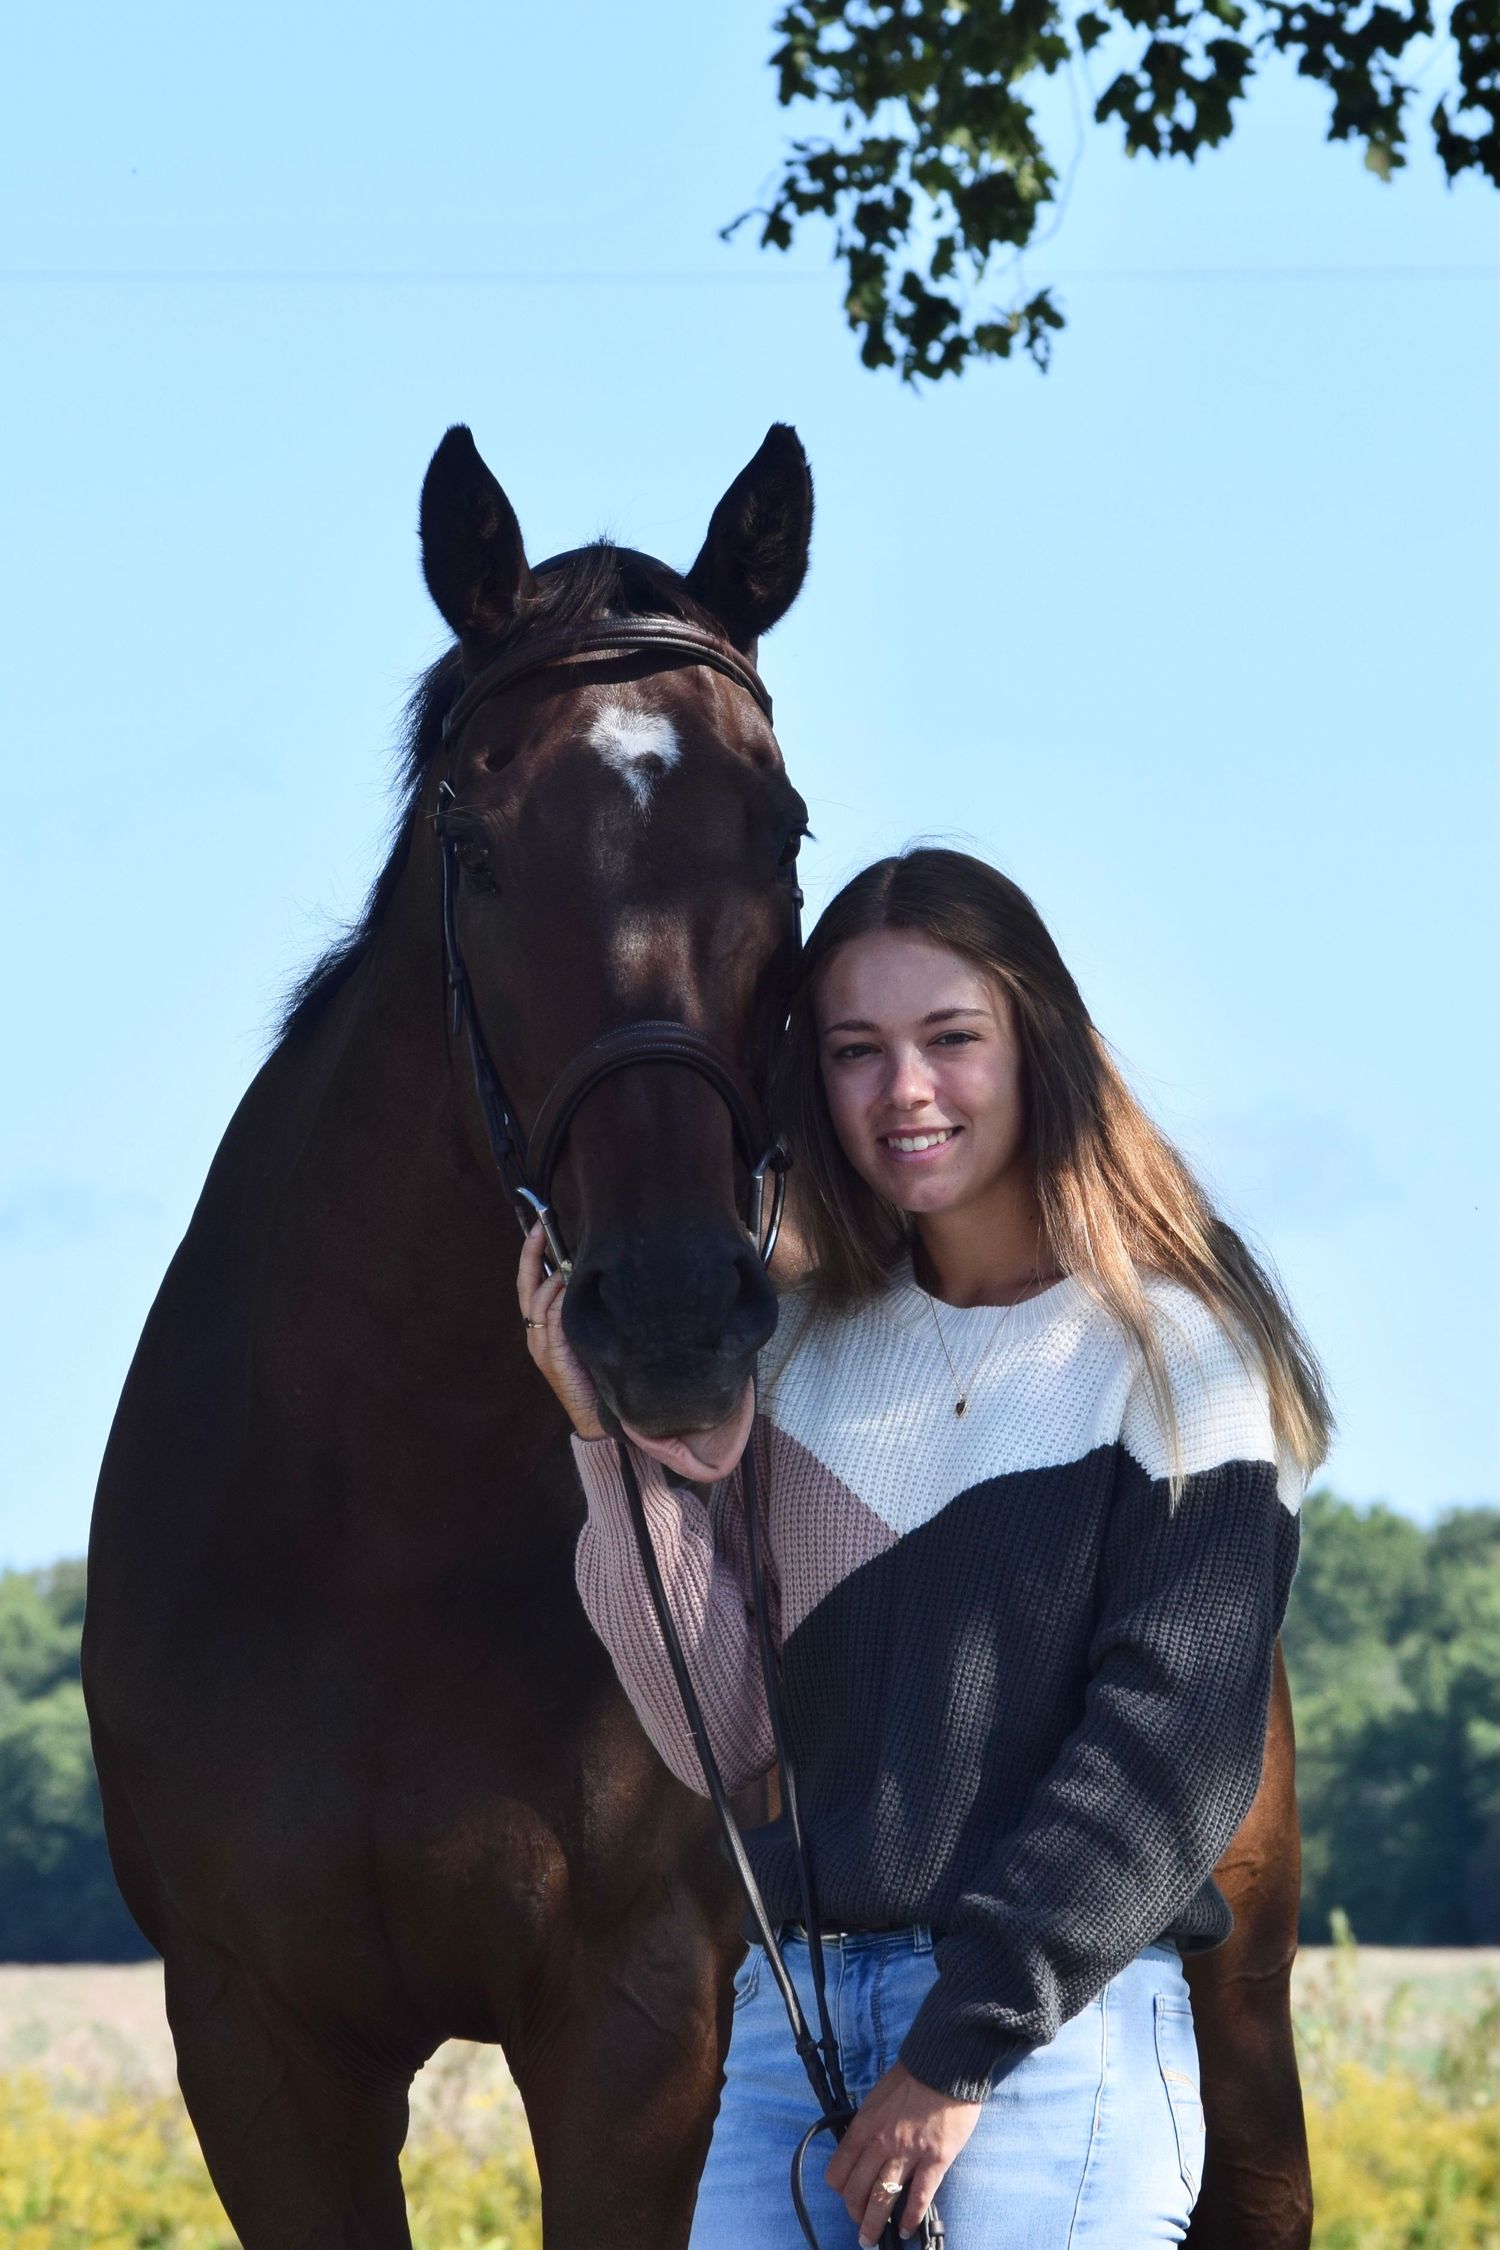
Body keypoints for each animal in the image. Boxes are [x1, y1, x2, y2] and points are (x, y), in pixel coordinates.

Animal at [83, 423, 1310, 2250]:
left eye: (783, 831)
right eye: (471, 835)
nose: (667, 1311)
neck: (377, 1529)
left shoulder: (637, 2026)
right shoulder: (258, 2040)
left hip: (1235, 2017)